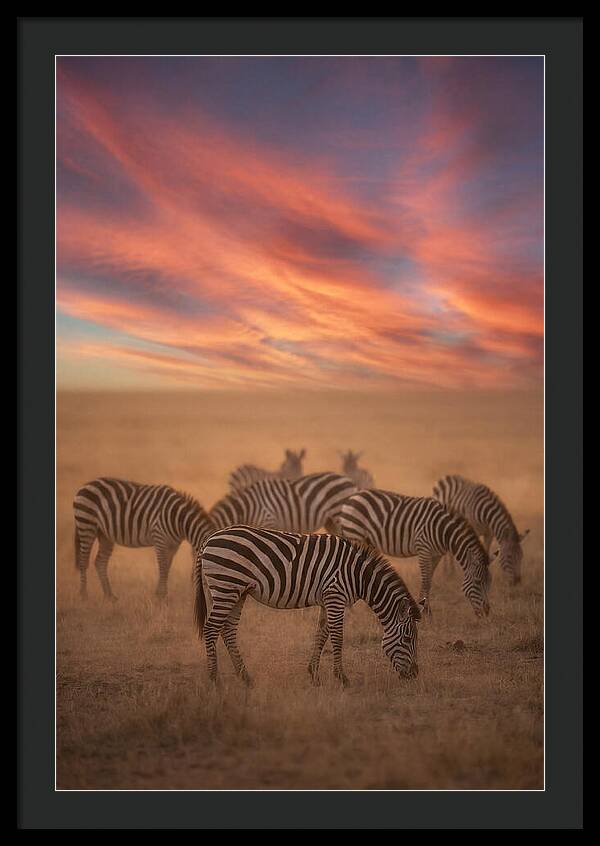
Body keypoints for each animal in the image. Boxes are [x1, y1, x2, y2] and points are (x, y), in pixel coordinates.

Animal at [73, 477, 215, 602]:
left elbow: (167, 567)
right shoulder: (159, 538)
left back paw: (110, 596)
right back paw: (83, 595)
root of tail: (86, 485)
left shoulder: (173, 545)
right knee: (83, 560)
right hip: (86, 524)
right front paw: (161, 597)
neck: (179, 519)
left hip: (104, 534)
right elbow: (163, 566)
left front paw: (161, 595)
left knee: (100, 562)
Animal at [194, 524, 423, 687]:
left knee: (228, 630)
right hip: (226, 586)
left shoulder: (327, 599)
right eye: (407, 639)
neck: (358, 576)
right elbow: (337, 636)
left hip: (237, 592)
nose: (414, 674)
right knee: (211, 628)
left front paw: (314, 675)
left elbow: (321, 634)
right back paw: (215, 679)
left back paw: (245, 677)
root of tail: (209, 539)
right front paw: (342, 678)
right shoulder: (335, 596)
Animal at [331, 488, 491, 618]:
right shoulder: (424, 549)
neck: (444, 530)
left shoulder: (436, 555)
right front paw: (426, 613)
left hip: (366, 540)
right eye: (478, 582)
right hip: (355, 532)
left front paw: (426, 609)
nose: (486, 613)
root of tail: (351, 498)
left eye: (489, 584)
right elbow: (425, 581)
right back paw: (351, 610)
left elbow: (429, 581)